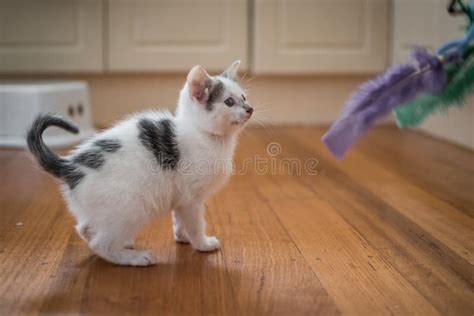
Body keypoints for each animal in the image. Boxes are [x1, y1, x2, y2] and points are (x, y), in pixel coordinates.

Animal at [27, 59, 254, 266]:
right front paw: (202, 243)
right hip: (131, 206)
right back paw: (134, 257)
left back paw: (121, 242)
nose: (250, 109)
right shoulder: (191, 197)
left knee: (84, 228)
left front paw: (182, 237)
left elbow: (179, 218)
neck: (203, 134)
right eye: (229, 102)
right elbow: (195, 223)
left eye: (244, 97)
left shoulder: (180, 196)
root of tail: (71, 166)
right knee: (100, 244)